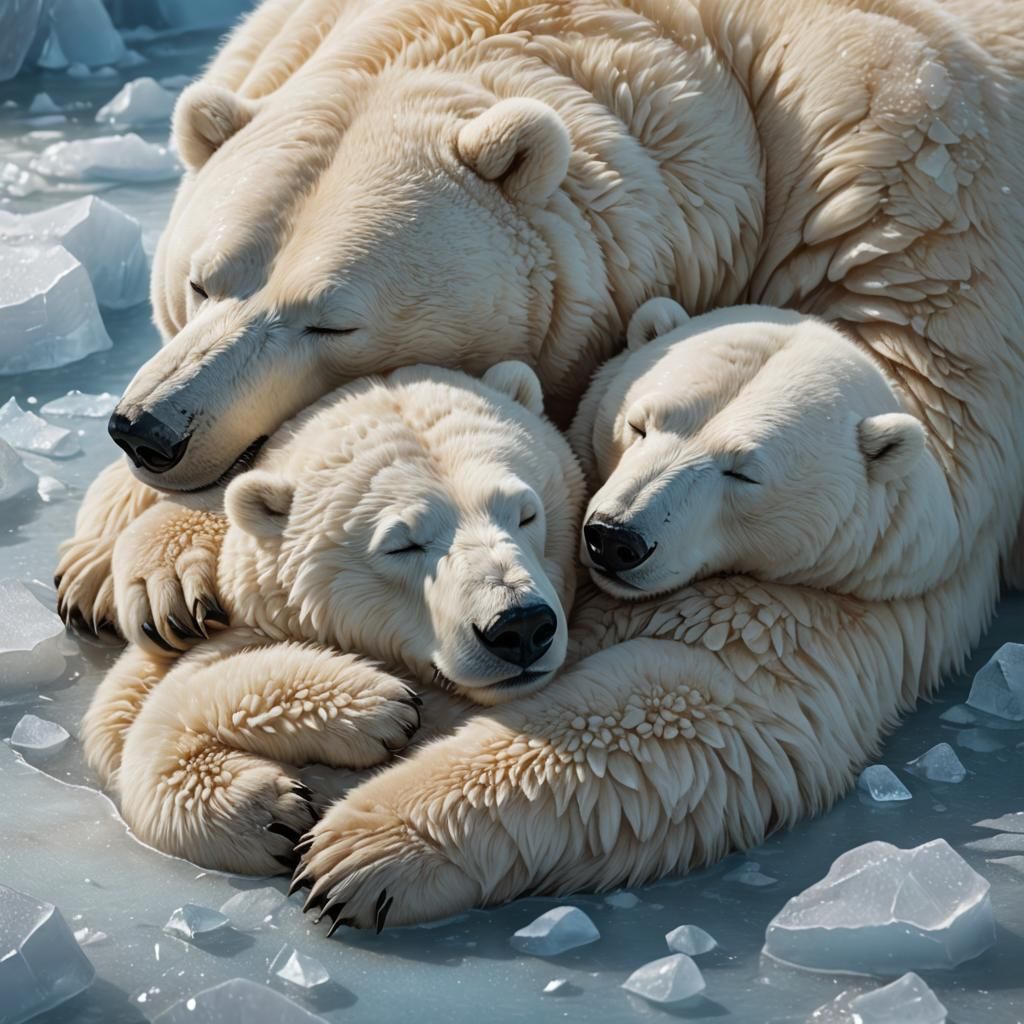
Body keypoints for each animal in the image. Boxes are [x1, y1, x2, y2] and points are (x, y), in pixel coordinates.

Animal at [278, 297, 1017, 929]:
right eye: (642, 422)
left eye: (742, 470)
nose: (615, 537)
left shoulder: (802, 619)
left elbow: (666, 714)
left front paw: (355, 853)